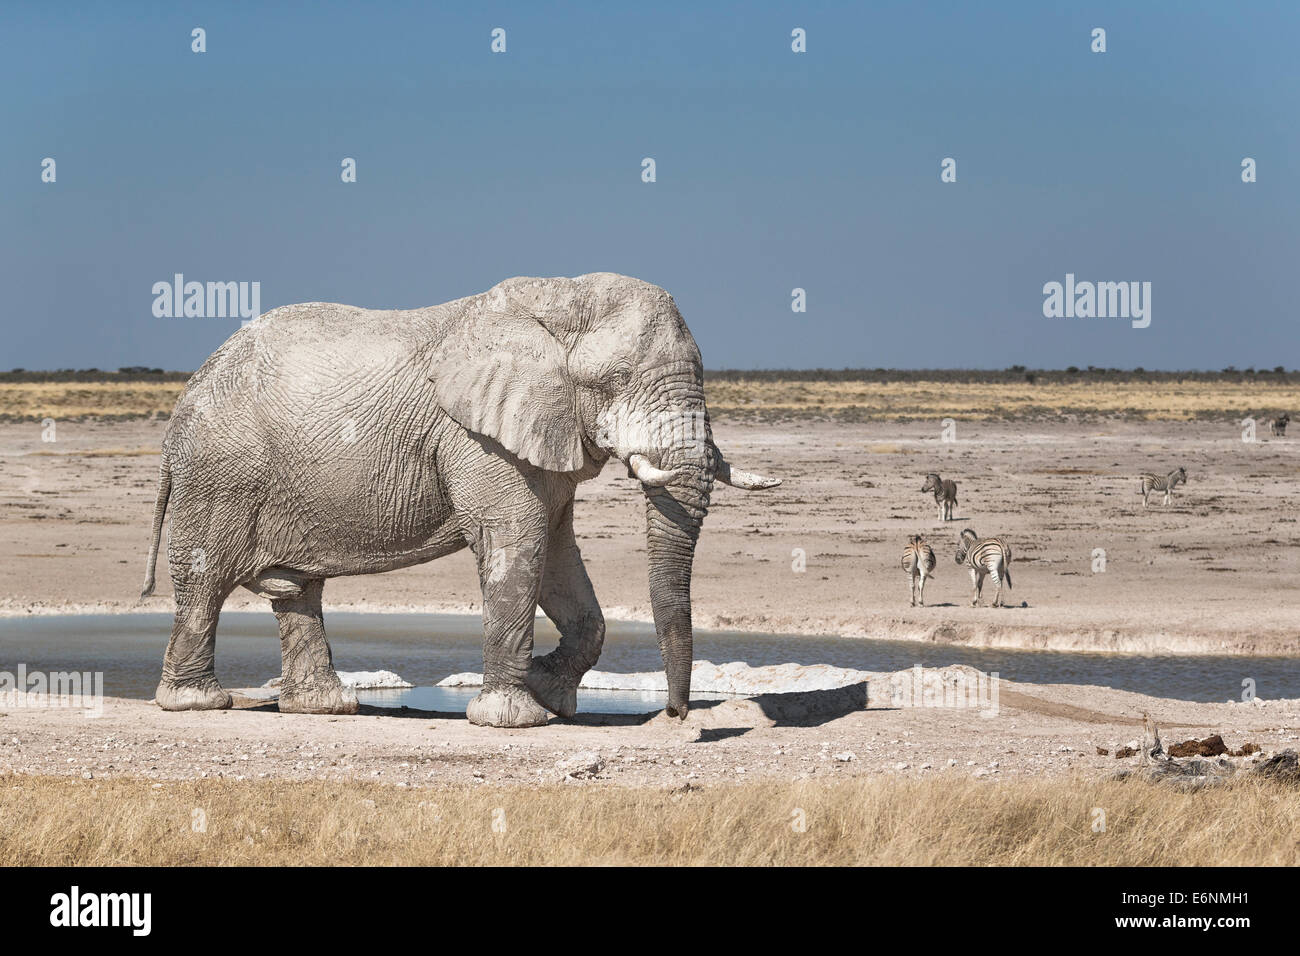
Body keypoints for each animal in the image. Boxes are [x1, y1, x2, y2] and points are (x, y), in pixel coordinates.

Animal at [139, 273, 780, 728]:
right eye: (616, 380)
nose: (675, 716)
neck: (561, 297)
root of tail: (186, 396)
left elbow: (556, 553)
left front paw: (550, 696)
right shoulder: (478, 437)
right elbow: (515, 544)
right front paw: (513, 719)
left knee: (297, 592)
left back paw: (326, 708)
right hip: (219, 473)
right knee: (205, 582)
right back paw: (196, 704)